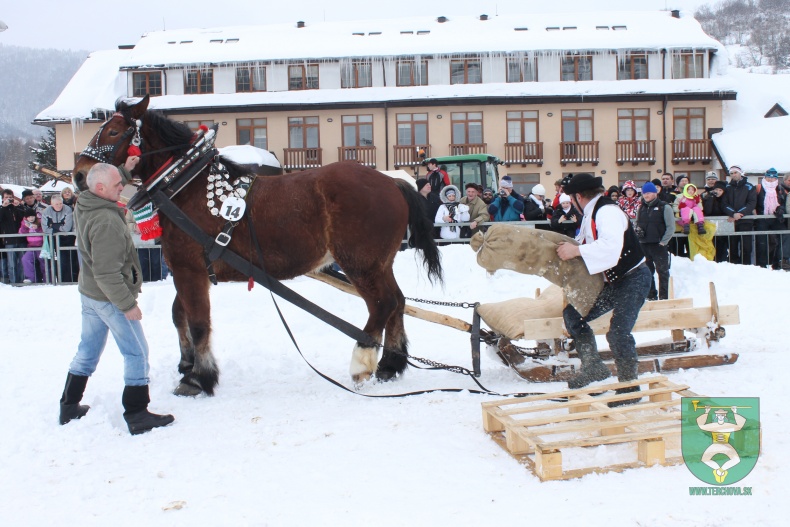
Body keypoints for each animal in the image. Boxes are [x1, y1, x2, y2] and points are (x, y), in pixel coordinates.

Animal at [72, 97, 446, 398]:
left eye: (113, 132)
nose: (79, 174)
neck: (185, 184)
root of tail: (392, 182)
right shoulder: (184, 269)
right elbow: (180, 315)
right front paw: (187, 363)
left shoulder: (190, 269)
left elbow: (198, 322)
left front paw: (199, 378)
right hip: (379, 263)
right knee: (398, 301)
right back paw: (390, 364)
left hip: (360, 264)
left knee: (382, 305)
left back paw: (362, 362)